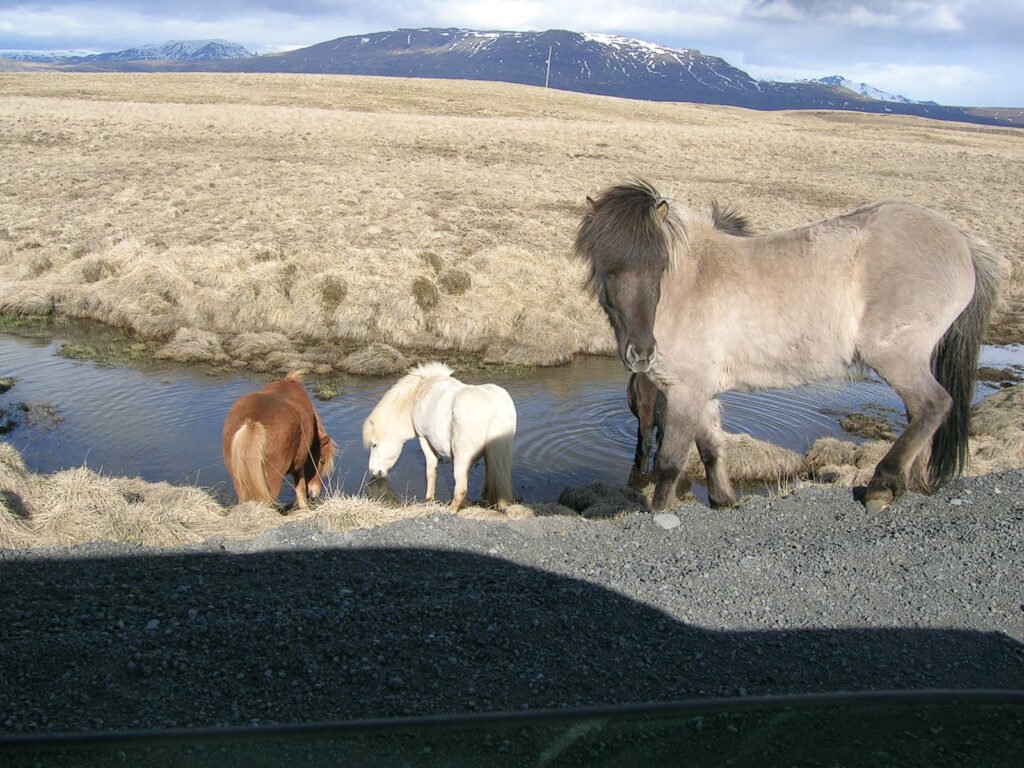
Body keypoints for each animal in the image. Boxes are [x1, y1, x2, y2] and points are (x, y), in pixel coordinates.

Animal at [222, 370, 335, 510]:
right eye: (322, 461)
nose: (314, 493)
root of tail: (251, 423)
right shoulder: (301, 461)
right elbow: (300, 487)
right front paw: (304, 507)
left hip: (239, 480)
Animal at [362, 362, 517, 511]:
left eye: (374, 444)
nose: (373, 471)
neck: (419, 392)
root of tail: (494, 408)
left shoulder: (424, 439)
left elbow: (430, 469)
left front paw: (429, 498)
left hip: (464, 458)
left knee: (461, 489)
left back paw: (450, 511)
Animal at [576, 179, 1006, 513]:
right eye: (607, 270)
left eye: (660, 267)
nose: (641, 352)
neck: (690, 284)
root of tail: (963, 242)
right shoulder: (703, 391)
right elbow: (712, 448)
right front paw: (724, 500)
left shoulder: (685, 391)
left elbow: (670, 461)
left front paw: (660, 512)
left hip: (898, 356)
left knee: (933, 406)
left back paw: (882, 486)